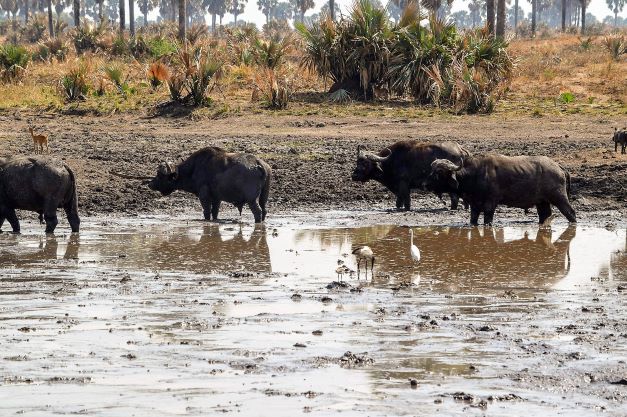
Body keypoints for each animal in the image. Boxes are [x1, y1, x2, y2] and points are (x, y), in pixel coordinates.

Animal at [426, 154, 580, 224]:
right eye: (431, 171)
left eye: (439, 173)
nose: (425, 185)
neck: (475, 175)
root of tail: (558, 167)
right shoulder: (474, 205)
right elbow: (473, 220)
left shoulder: (491, 203)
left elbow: (488, 219)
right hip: (542, 202)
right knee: (545, 215)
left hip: (559, 197)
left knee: (570, 212)